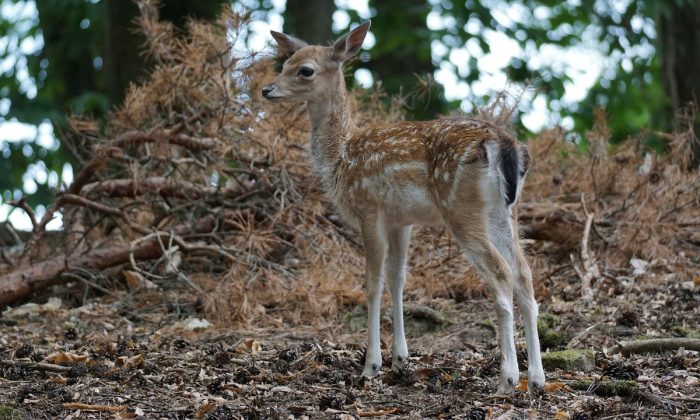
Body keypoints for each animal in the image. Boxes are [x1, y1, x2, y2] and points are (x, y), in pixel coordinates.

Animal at [264, 21, 548, 392]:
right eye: (284, 62)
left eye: (305, 70)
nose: (267, 89)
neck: (341, 156)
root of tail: (502, 143)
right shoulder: (402, 221)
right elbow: (397, 279)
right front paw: (401, 358)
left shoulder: (369, 208)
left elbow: (372, 283)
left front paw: (371, 366)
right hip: (503, 212)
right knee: (524, 274)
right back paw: (538, 378)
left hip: (461, 207)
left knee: (501, 274)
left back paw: (508, 378)